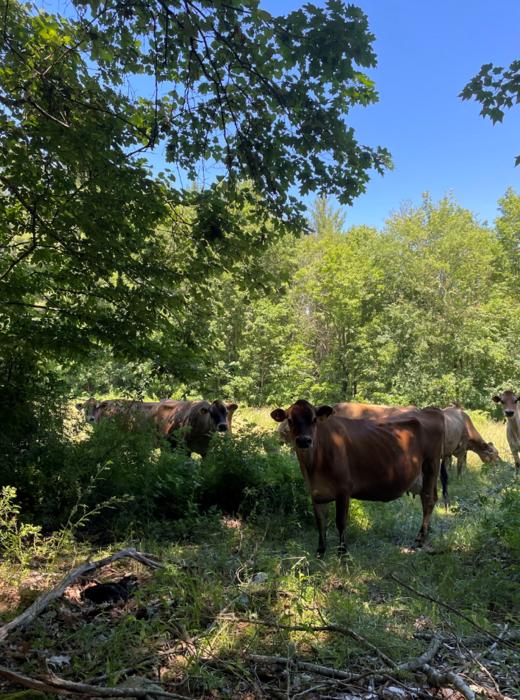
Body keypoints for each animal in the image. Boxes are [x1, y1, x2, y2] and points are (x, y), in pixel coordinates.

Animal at [270, 400, 444, 556]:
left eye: (314, 419)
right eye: (290, 420)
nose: (304, 440)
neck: (314, 466)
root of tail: (431, 411)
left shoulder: (344, 489)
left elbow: (340, 522)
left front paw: (343, 554)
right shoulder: (315, 492)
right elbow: (320, 522)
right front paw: (320, 552)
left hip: (431, 465)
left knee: (428, 501)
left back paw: (419, 540)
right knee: (431, 499)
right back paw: (425, 536)